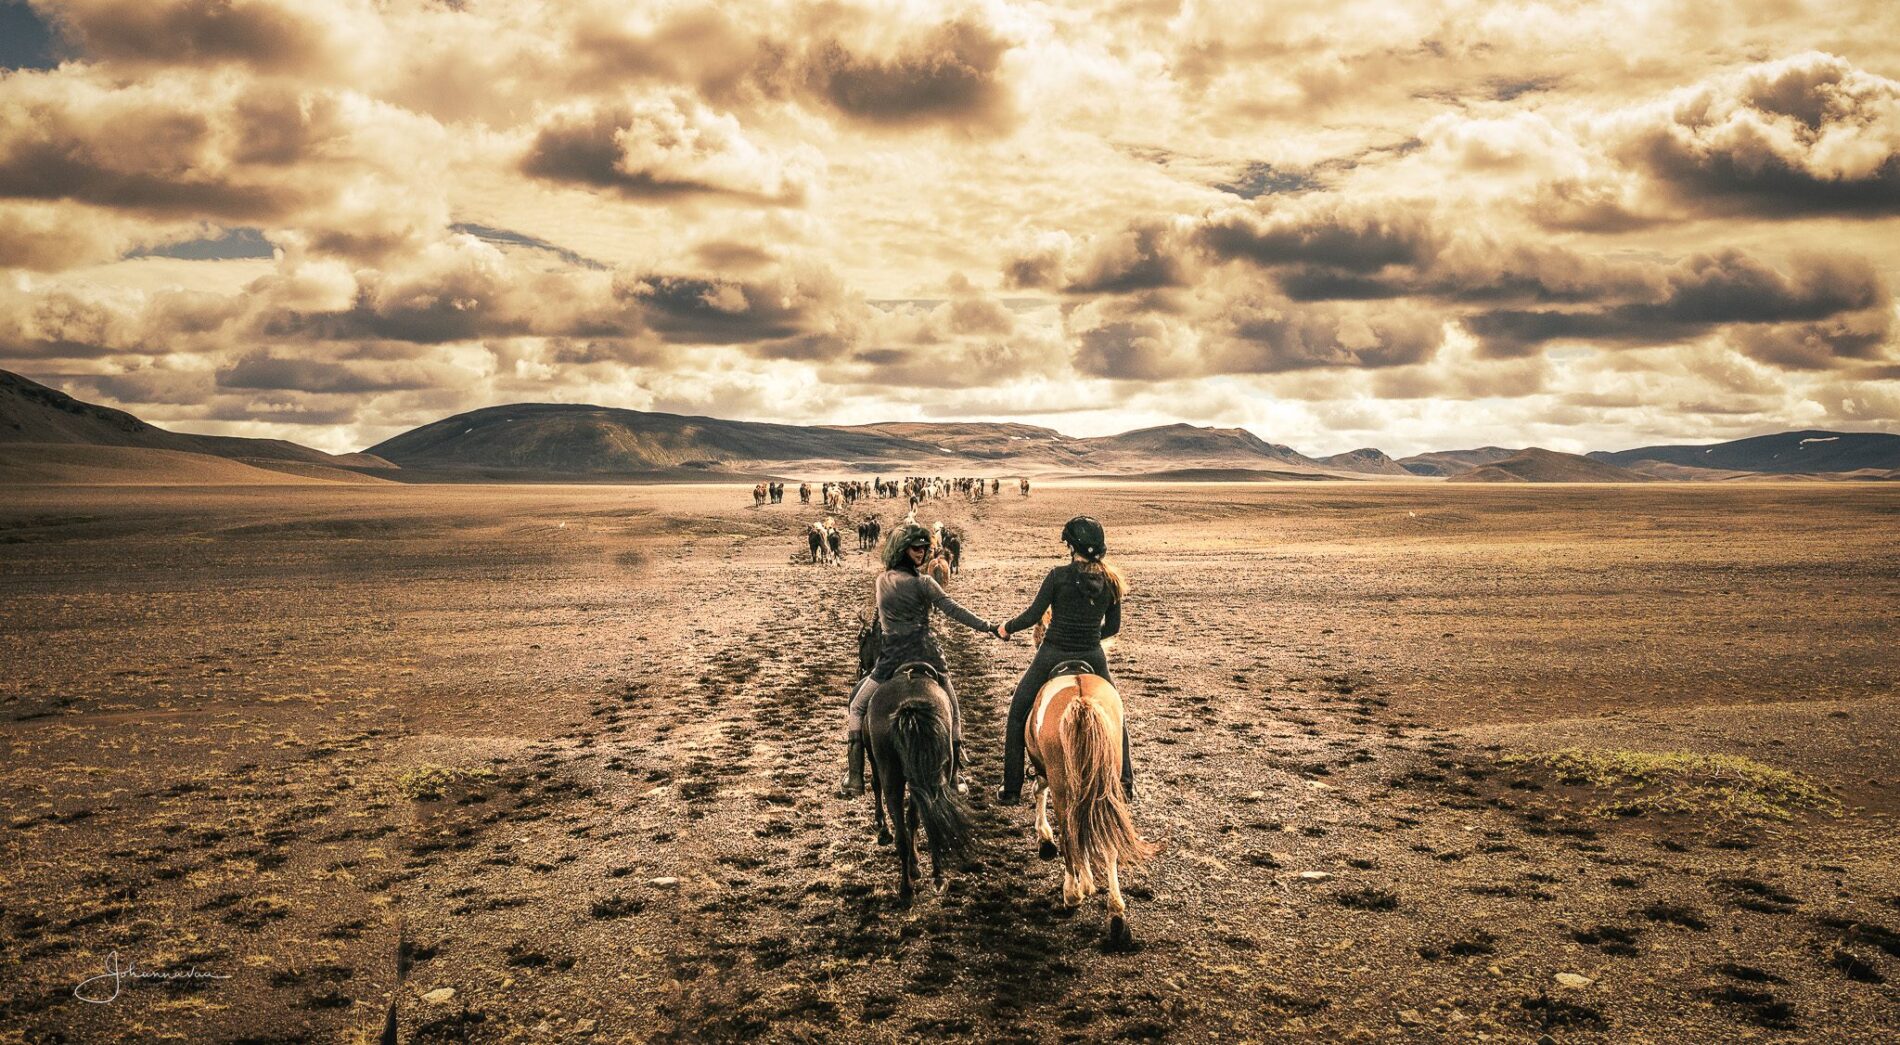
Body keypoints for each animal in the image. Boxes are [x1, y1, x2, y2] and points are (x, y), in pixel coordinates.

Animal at [870, 668, 972, 904]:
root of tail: (909, 707)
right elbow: (915, 818)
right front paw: (916, 865)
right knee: (931, 820)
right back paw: (934, 878)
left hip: (893, 776)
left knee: (904, 831)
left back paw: (908, 888)